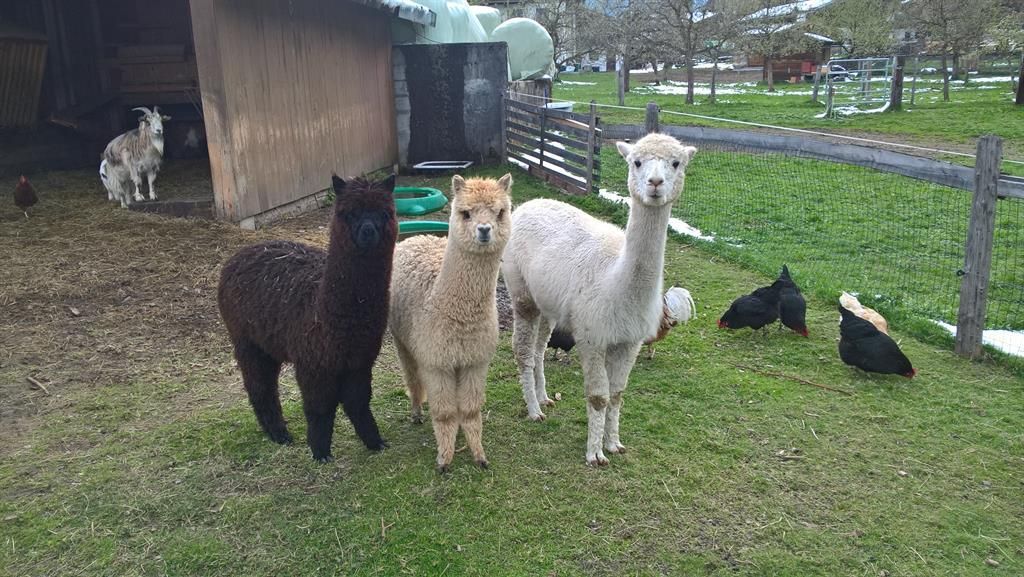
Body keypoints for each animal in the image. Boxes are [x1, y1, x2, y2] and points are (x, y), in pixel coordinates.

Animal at [217, 174, 397, 462]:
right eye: (349, 213)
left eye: (384, 212)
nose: (368, 231)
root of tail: (239, 255)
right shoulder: (313, 363)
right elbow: (319, 407)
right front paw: (320, 451)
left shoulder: (358, 361)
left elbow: (358, 402)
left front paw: (374, 441)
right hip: (246, 339)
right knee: (260, 386)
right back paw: (279, 434)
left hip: (268, 343)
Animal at [388, 174, 513, 472]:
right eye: (465, 213)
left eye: (500, 212)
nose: (484, 230)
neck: (461, 319)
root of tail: (416, 238)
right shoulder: (437, 362)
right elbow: (444, 412)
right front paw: (444, 459)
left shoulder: (474, 361)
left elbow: (469, 409)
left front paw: (479, 454)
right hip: (402, 339)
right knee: (412, 376)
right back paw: (416, 413)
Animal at [501, 133, 697, 466]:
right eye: (636, 162)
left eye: (676, 162)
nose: (655, 183)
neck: (615, 282)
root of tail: (528, 204)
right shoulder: (591, 336)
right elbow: (598, 397)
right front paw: (595, 454)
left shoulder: (628, 341)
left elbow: (617, 394)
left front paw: (615, 443)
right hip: (520, 289)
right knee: (523, 351)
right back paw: (533, 410)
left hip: (549, 303)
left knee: (540, 349)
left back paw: (544, 397)